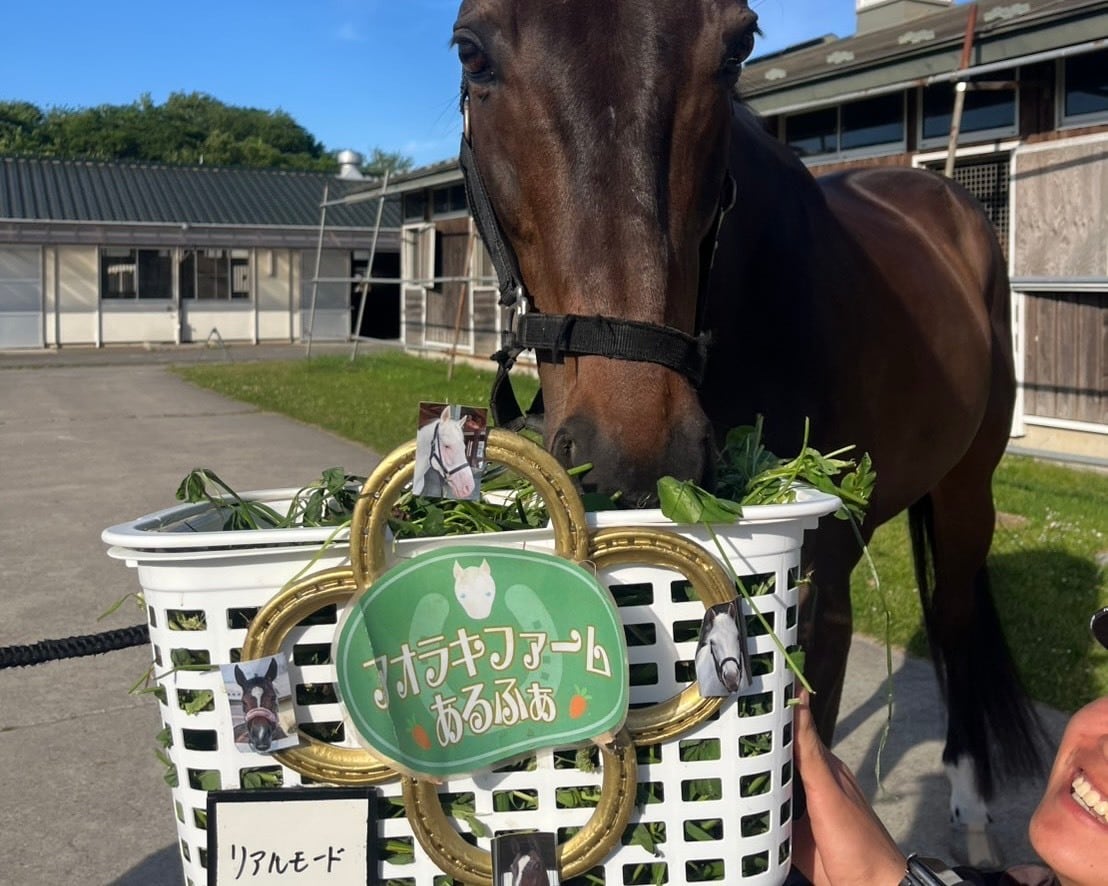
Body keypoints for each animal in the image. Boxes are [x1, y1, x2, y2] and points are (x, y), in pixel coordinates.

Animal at [452, 0, 1045, 862]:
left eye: (738, 47)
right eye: (472, 51)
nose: (634, 456)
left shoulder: (818, 595)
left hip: (969, 491)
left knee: (957, 619)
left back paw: (971, 814)